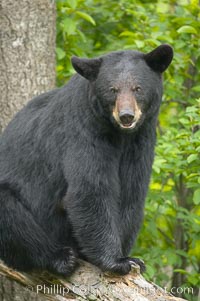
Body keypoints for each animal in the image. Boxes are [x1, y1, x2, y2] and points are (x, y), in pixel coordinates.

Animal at [0, 43, 172, 276]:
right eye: (113, 89)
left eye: (138, 88)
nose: (127, 116)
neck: (119, 134)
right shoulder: (84, 129)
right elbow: (90, 188)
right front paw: (116, 260)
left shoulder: (141, 139)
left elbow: (130, 192)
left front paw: (129, 256)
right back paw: (61, 257)